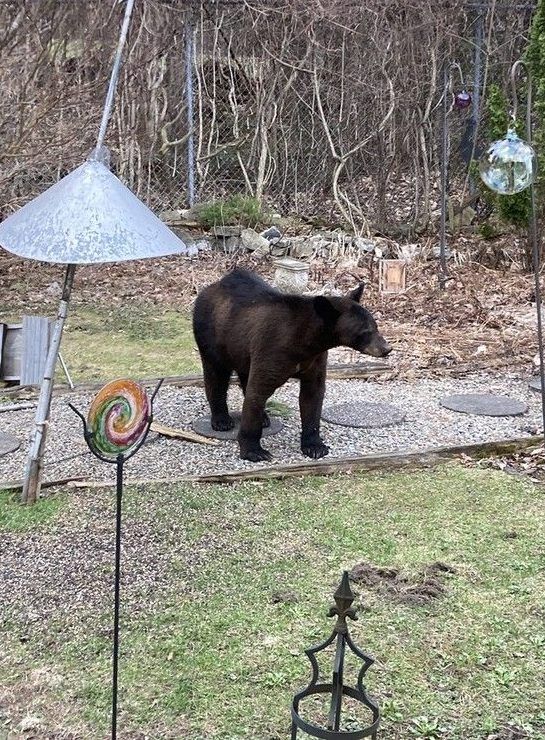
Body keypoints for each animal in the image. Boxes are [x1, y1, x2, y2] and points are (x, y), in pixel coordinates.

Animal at [192, 268, 391, 462]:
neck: (307, 341)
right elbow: (258, 389)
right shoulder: (272, 348)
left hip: (241, 347)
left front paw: (315, 446)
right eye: (365, 331)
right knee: (216, 374)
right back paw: (222, 420)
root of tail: (211, 286)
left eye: (375, 325)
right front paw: (254, 451)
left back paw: (264, 417)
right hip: (212, 334)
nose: (387, 348)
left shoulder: (315, 359)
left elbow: (313, 396)